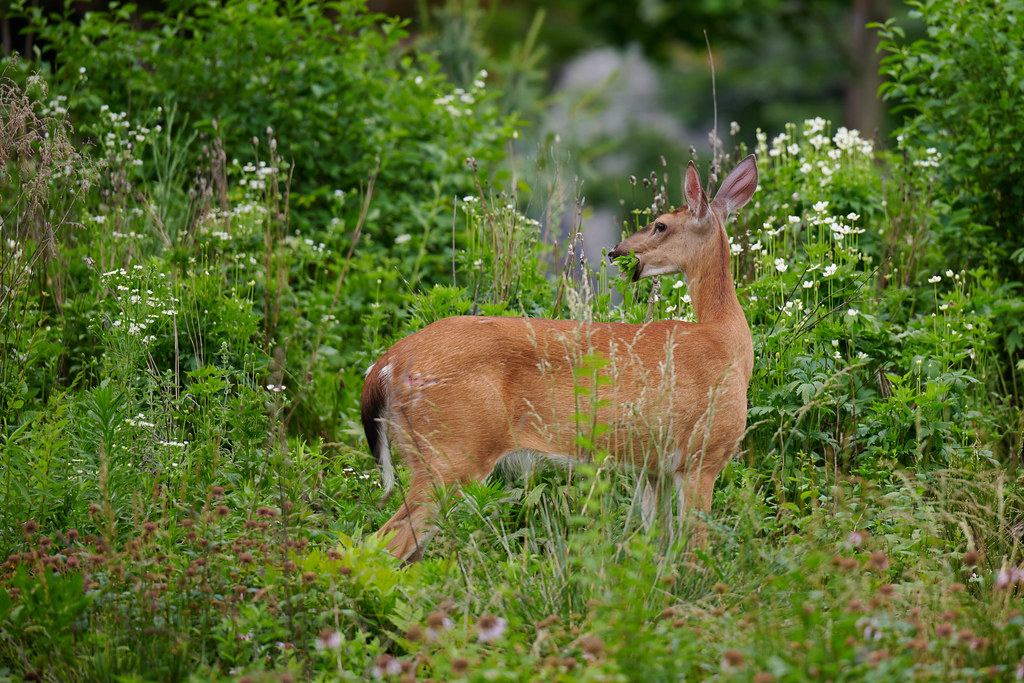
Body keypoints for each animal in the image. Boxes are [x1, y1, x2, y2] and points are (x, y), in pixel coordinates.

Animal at [361, 155, 758, 561]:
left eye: (661, 224)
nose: (616, 251)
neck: (726, 339)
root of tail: (387, 363)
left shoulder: (654, 467)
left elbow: (656, 546)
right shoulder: (704, 454)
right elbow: (696, 550)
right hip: (451, 450)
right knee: (382, 542)